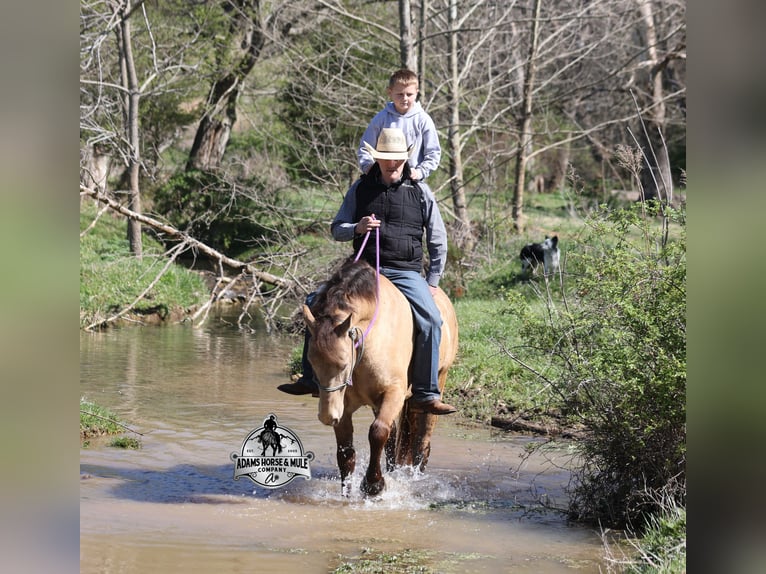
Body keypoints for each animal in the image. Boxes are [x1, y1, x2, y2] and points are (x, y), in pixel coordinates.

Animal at [302, 258, 459, 496]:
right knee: (394, 438)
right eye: (311, 363)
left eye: (343, 364)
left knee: (422, 442)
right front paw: (347, 494)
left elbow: (377, 433)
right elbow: (346, 451)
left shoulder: (393, 393)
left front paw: (373, 485)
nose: (327, 417)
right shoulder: (344, 406)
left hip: (438, 381)